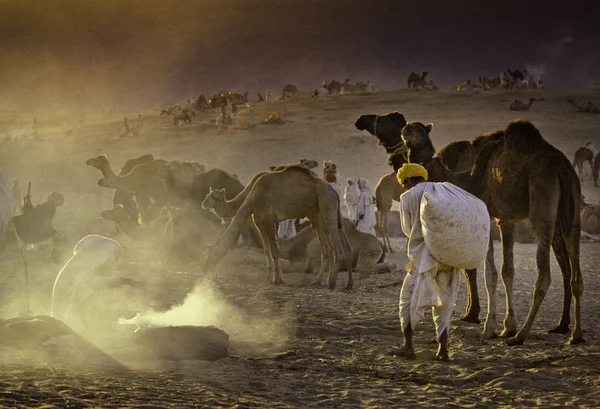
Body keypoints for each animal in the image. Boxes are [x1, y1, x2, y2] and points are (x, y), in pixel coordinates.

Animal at [203, 165, 352, 290]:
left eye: (210, 254)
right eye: (207, 195)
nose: (204, 270)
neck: (251, 196)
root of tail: (334, 192)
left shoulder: (267, 219)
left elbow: (274, 250)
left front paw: (277, 280)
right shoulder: (260, 219)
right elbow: (266, 248)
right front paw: (270, 277)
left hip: (327, 207)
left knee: (336, 247)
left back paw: (332, 284)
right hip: (323, 214)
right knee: (336, 247)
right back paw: (340, 284)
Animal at [400, 118, 584, 344]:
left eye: (421, 131)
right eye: (409, 126)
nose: (406, 130)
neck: (469, 177)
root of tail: (561, 169)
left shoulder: (486, 214)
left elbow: (490, 274)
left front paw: (490, 328)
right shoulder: (506, 220)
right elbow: (507, 271)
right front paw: (508, 327)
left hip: (542, 199)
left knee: (544, 275)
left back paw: (522, 335)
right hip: (572, 206)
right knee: (575, 268)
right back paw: (575, 335)